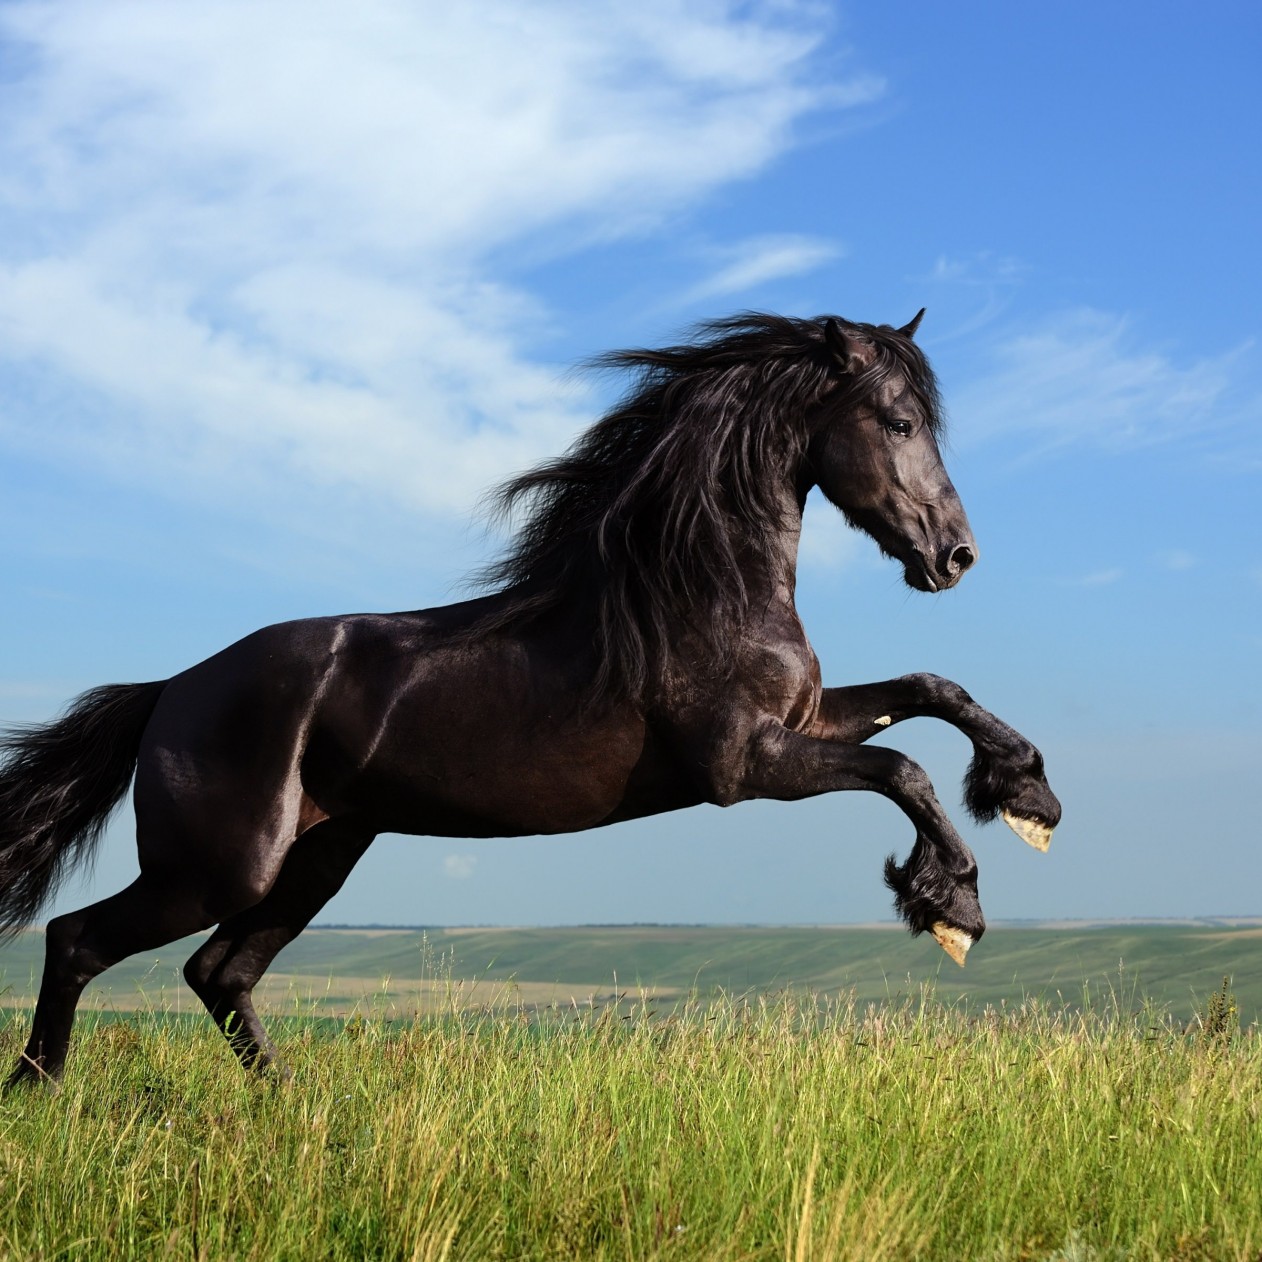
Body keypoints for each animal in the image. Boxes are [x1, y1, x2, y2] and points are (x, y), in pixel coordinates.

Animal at [0, 310, 1061, 1086]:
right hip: (219, 867)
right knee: (77, 940)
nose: (955, 556)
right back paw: (41, 1094)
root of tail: (171, 690)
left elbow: (929, 690)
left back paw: (293, 1107)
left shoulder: (800, 721)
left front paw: (1028, 797)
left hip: (315, 858)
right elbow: (901, 764)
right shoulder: (744, 764)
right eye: (898, 423)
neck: (698, 589)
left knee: (218, 973)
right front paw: (951, 904)